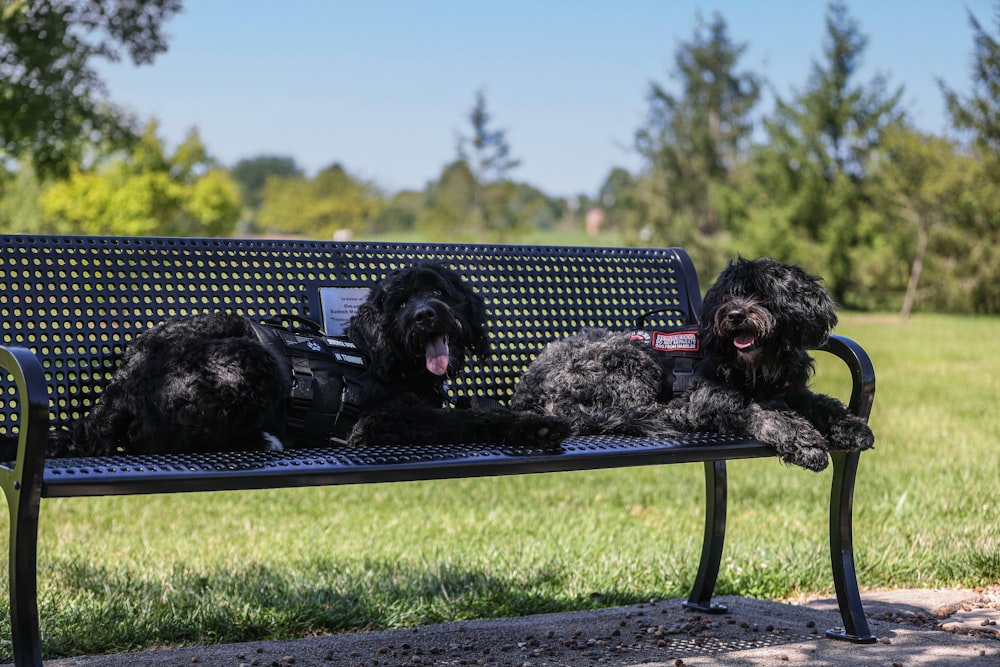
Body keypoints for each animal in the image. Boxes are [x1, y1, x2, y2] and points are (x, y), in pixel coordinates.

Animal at [54, 262, 572, 460]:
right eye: (401, 302)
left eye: (440, 293)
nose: (425, 315)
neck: (387, 359)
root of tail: (123, 388)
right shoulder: (384, 422)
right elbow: (464, 421)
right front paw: (534, 426)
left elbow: (475, 408)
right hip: (248, 357)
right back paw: (264, 439)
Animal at [516, 258, 876, 472]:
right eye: (728, 295)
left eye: (762, 295)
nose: (735, 315)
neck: (759, 368)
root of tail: (529, 388)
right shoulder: (711, 401)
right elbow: (767, 415)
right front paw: (805, 442)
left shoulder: (793, 392)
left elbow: (824, 403)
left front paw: (850, 425)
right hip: (631, 363)